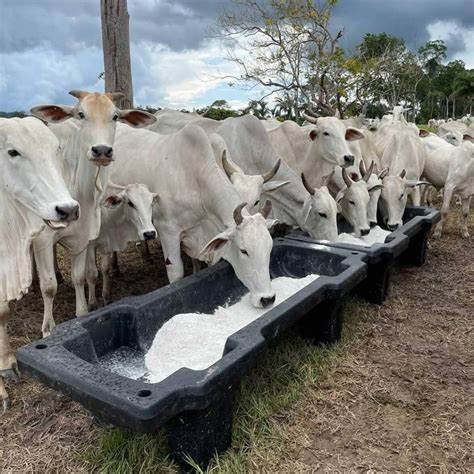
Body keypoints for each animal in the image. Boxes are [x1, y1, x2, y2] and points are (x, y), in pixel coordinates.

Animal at [30, 90, 156, 336]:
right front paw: (48, 329)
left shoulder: (83, 239)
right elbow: (49, 287)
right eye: (81, 114)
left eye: (115, 116)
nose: (102, 151)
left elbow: (82, 277)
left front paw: (84, 310)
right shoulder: (43, 238)